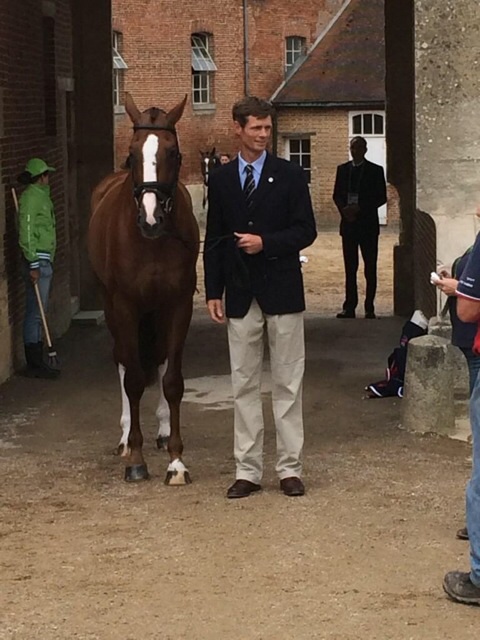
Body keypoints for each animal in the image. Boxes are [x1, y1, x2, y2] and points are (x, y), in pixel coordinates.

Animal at [88, 94, 199, 484]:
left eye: (173, 153)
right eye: (132, 153)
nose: (151, 219)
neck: (151, 243)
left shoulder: (178, 305)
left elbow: (173, 381)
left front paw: (177, 461)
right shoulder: (124, 306)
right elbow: (134, 379)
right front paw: (135, 459)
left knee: (162, 360)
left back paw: (164, 433)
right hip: (112, 308)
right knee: (123, 361)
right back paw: (125, 438)